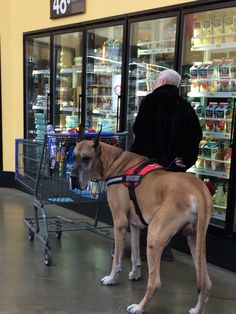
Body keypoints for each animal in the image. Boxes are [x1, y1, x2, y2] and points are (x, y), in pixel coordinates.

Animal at [70, 138, 212, 314]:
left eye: (86, 158)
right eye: (74, 157)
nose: (72, 177)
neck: (115, 162)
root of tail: (198, 189)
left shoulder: (120, 223)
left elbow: (117, 259)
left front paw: (112, 278)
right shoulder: (134, 224)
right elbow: (135, 253)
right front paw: (135, 272)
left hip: (154, 236)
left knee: (155, 282)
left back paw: (139, 307)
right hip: (196, 240)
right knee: (205, 282)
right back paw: (197, 309)